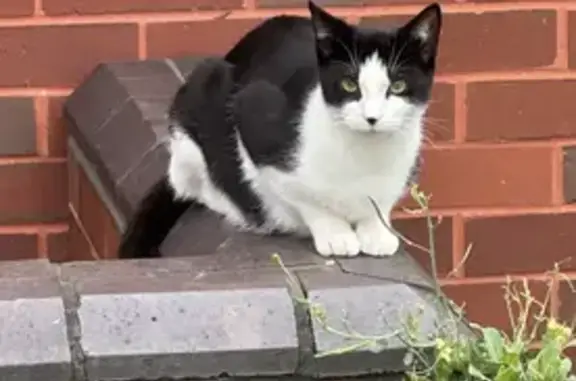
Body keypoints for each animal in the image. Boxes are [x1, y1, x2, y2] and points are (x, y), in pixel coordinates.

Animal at [116, 0, 440, 258]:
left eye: (397, 86)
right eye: (350, 84)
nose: (372, 117)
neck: (364, 157)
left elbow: (381, 203)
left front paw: (376, 231)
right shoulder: (253, 118)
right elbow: (300, 195)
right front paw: (335, 233)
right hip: (198, 94)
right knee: (193, 183)